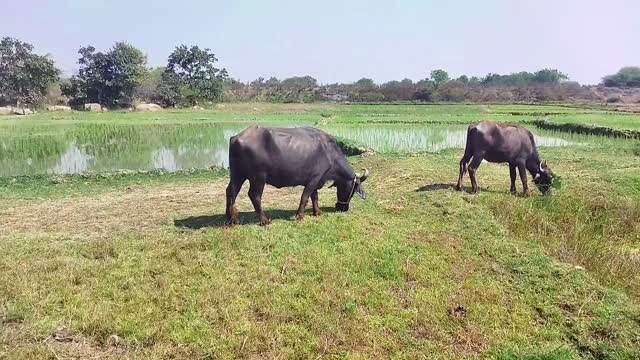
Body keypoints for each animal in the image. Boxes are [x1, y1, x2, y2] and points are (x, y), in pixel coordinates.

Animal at [225, 125, 368, 224]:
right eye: (352, 190)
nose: (342, 208)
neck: (330, 153)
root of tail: (236, 138)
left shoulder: (316, 180)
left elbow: (314, 197)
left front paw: (317, 212)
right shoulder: (314, 179)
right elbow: (305, 197)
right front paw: (300, 215)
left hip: (237, 175)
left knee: (230, 192)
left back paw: (231, 218)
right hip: (258, 178)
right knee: (254, 196)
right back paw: (264, 220)